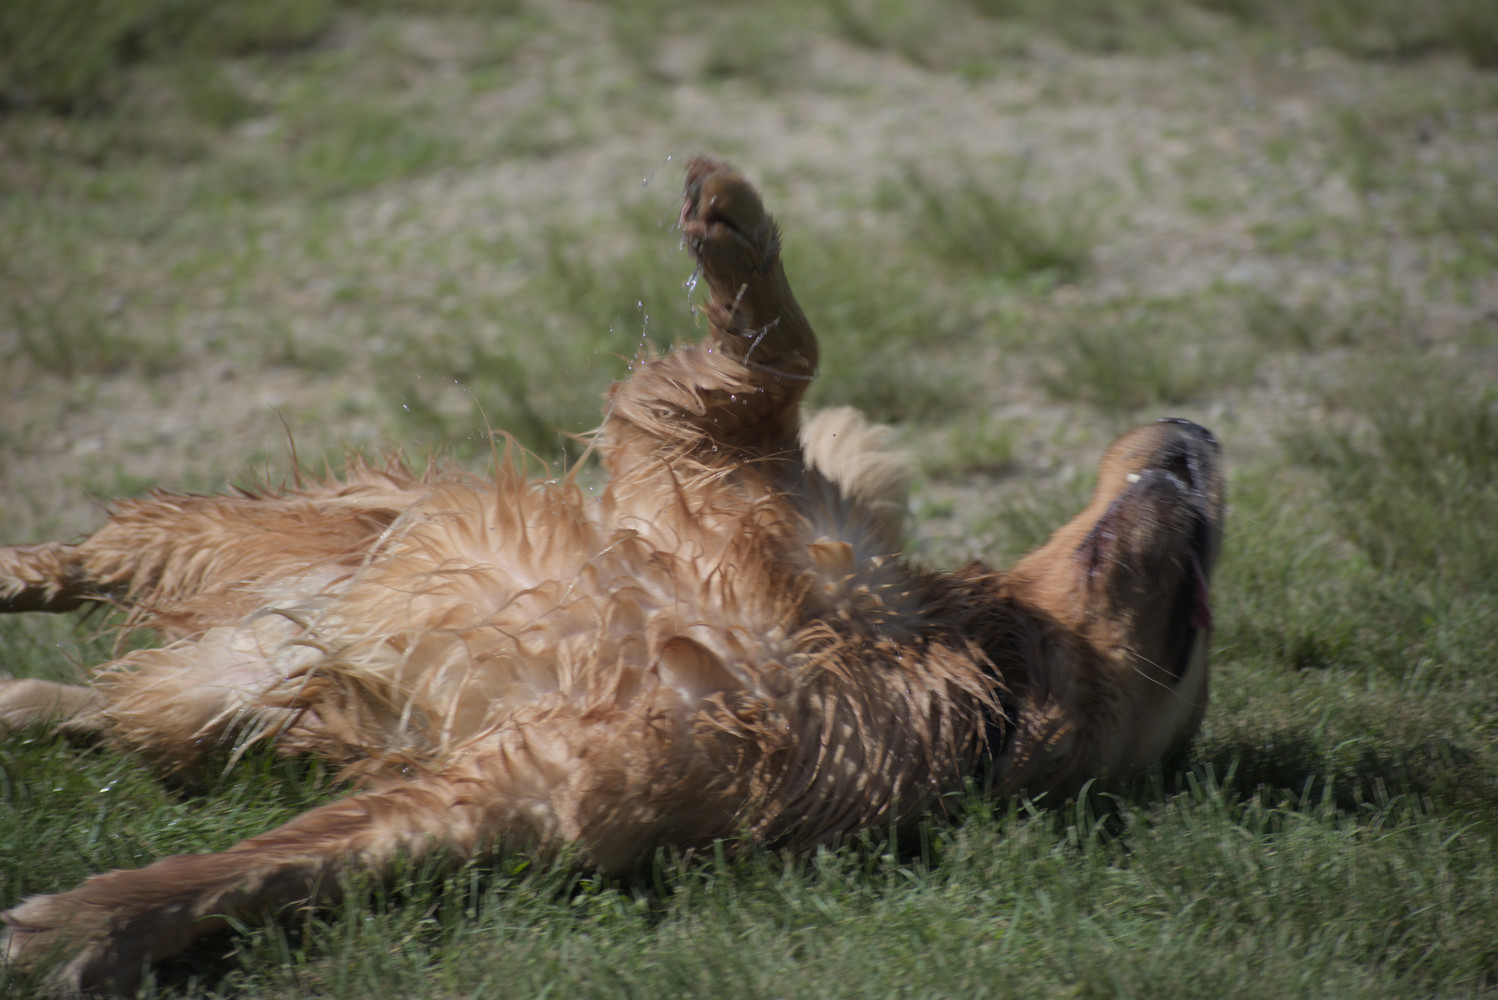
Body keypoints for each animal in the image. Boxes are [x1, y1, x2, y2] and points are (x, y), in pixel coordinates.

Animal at [0, 158, 1224, 993]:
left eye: (1194, 605)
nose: (1204, 437)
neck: (948, 656)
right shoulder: (720, 468)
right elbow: (776, 361)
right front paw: (733, 223)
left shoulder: (533, 788)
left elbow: (268, 865)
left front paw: (89, 928)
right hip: (275, 535)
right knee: (76, 565)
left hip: (224, 690)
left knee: (96, 699)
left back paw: (37, 702)